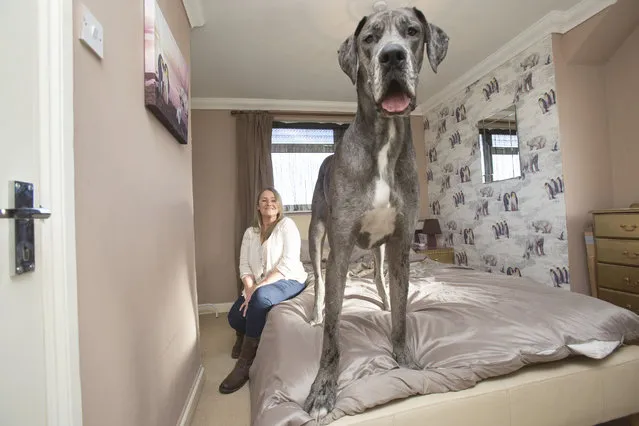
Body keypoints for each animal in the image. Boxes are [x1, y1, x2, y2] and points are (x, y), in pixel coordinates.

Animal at [304, 5, 450, 422]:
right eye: (369, 39)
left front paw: (405, 360)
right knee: (318, 284)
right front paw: (324, 388)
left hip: (381, 247)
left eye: (412, 32)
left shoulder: (401, 244)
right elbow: (333, 328)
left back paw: (381, 300)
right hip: (318, 235)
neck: (384, 137)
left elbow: (401, 312)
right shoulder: (338, 250)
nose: (392, 56)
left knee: (379, 277)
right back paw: (316, 311)